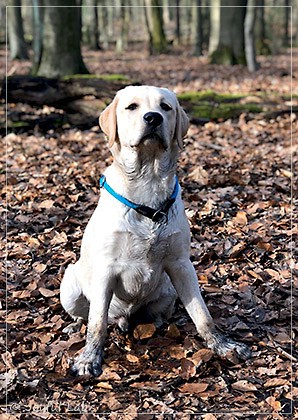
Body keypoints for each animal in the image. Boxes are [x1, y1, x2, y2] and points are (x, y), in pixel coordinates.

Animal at [60, 86, 249, 378]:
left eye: (166, 107)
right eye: (132, 107)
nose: (153, 118)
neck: (147, 180)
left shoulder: (181, 264)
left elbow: (202, 314)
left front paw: (222, 344)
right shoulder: (105, 269)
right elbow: (97, 322)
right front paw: (89, 359)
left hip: (168, 289)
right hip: (68, 284)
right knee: (87, 315)